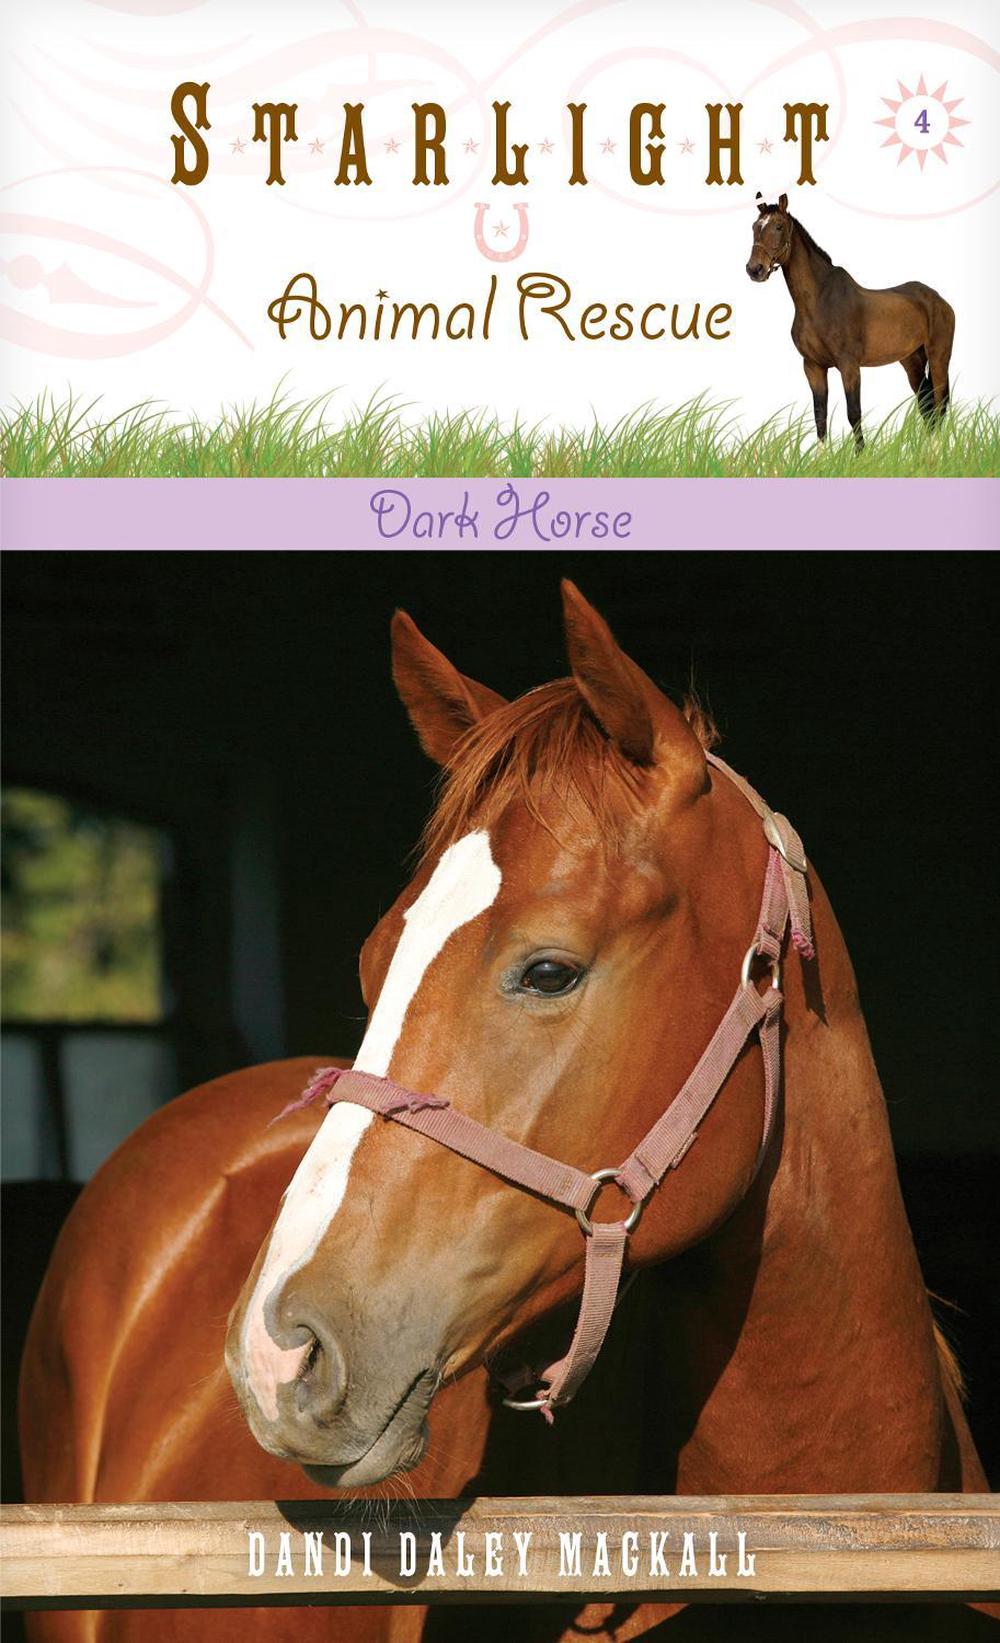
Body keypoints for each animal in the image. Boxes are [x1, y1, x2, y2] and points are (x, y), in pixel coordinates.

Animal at [746, 193, 955, 449]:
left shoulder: (849, 366)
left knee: (939, 402)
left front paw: (861, 455)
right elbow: (820, 415)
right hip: (911, 360)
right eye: (755, 227)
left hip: (938, 357)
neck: (819, 300)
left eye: (778, 226)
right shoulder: (813, 366)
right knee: (926, 404)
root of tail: (939, 299)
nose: (755, 269)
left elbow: (854, 413)